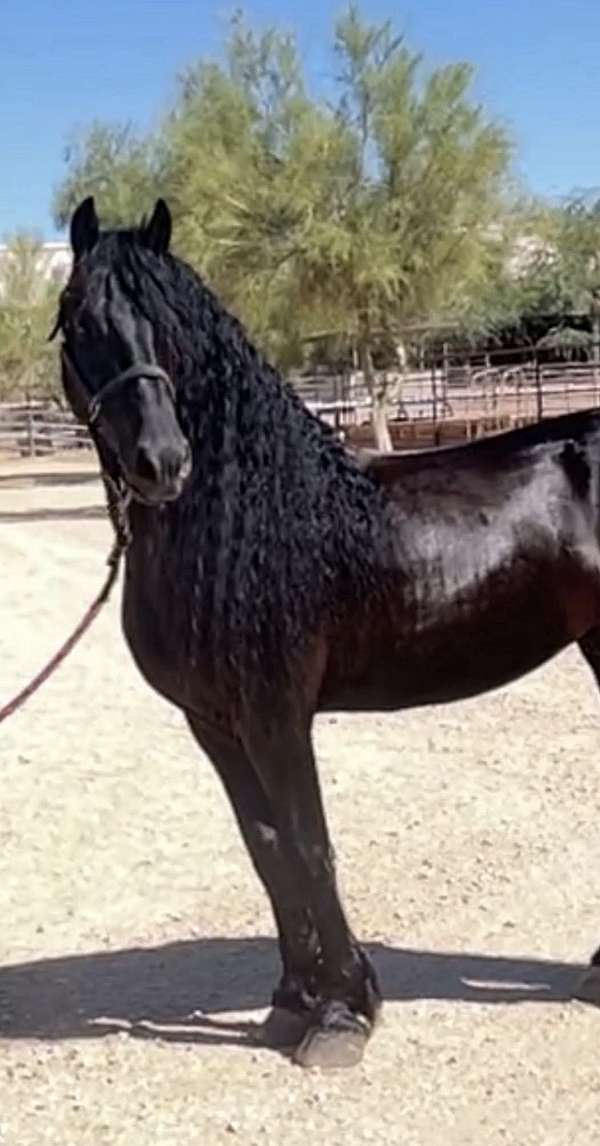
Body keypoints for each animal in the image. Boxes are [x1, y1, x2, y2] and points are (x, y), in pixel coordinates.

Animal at [53, 195, 600, 1068]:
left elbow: (310, 847)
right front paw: (293, 1001)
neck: (242, 527)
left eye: (171, 326)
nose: (160, 463)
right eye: (77, 318)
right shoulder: (214, 724)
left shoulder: (277, 716)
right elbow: (268, 850)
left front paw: (345, 1013)